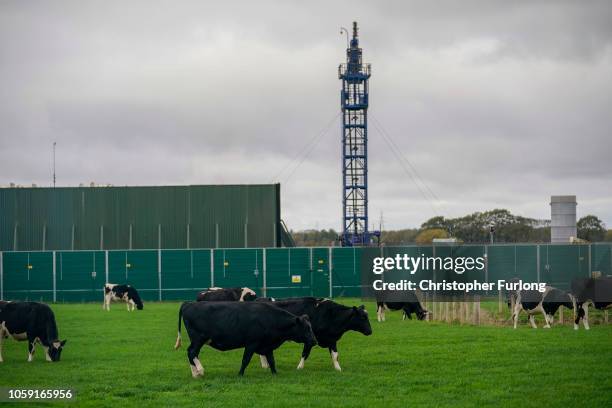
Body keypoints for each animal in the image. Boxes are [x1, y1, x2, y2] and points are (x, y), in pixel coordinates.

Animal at [172, 302, 316, 378]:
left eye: (311, 327)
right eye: (306, 328)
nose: (314, 341)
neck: (270, 319)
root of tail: (188, 303)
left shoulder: (267, 345)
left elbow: (272, 361)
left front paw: (275, 373)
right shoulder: (251, 344)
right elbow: (245, 360)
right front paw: (240, 374)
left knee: (191, 353)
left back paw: (195, 373)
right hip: (198, 339)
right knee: (192, 352)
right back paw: (200, 370)